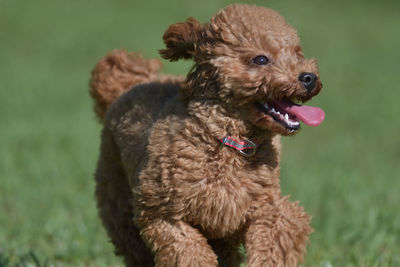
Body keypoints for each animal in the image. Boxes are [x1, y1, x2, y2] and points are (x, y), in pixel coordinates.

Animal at [90, 4, 324, 267]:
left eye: (297, 53)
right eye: (261, 59)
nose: (309, 77)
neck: (228, 140)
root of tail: (131, 84)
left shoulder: (260, 207)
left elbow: (278, 231)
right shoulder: (163, 214)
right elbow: (190, 251)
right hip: (120, 207)